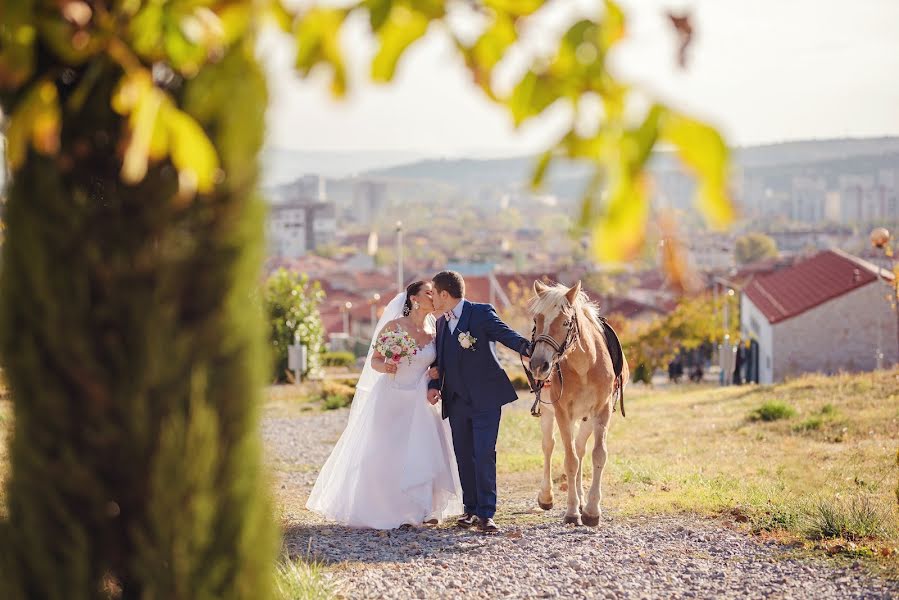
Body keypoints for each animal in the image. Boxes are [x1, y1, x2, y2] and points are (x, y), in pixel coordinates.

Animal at [524, 280, 628, 524]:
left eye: (565, 322)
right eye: (536, 320)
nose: (538, 365)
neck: (585, 366)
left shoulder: (602, 411)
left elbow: (597, 455)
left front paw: (591, 509)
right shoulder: (563, 413)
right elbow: (569, 460)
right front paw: (572, 511)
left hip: (588, 418)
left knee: (580, 448)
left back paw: (581, 499)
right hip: (549, 412)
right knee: (549, 445)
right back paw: (546, 496)